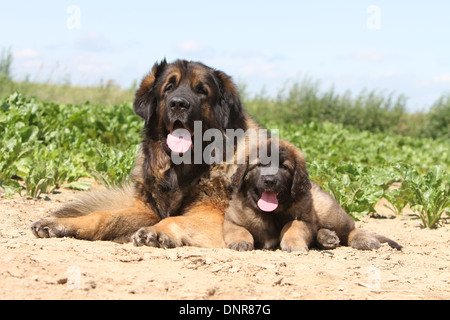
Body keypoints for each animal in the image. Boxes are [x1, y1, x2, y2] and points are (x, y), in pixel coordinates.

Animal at [225, 139, 404, 251]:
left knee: (351, 229)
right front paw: (240, 241)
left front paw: (293, 243)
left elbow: (291, 227)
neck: (270, 213)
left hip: (328, 211)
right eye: (259, 165)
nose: (269, 180)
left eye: (284, 167)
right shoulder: (231, 220)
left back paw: (364, 239)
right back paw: (327, 237)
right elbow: (239, 230)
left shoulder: (302, 219)